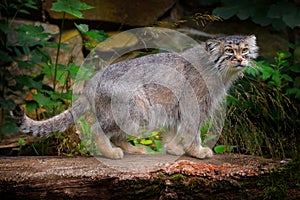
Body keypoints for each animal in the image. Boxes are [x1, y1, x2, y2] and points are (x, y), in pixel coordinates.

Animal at [10, 34, 256, 159]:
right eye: (229, 52)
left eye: (244, 50)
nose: (241, 60)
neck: (219, 73)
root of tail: (90, 83)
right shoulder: (193, 108)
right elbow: (192, 133)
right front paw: (198, 151)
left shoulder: (174, 109)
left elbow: (173, 133)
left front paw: (172, 150)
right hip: (137, 110)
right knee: (98, 129)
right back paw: (111, 153)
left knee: (117, 134)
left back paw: (133, 149)